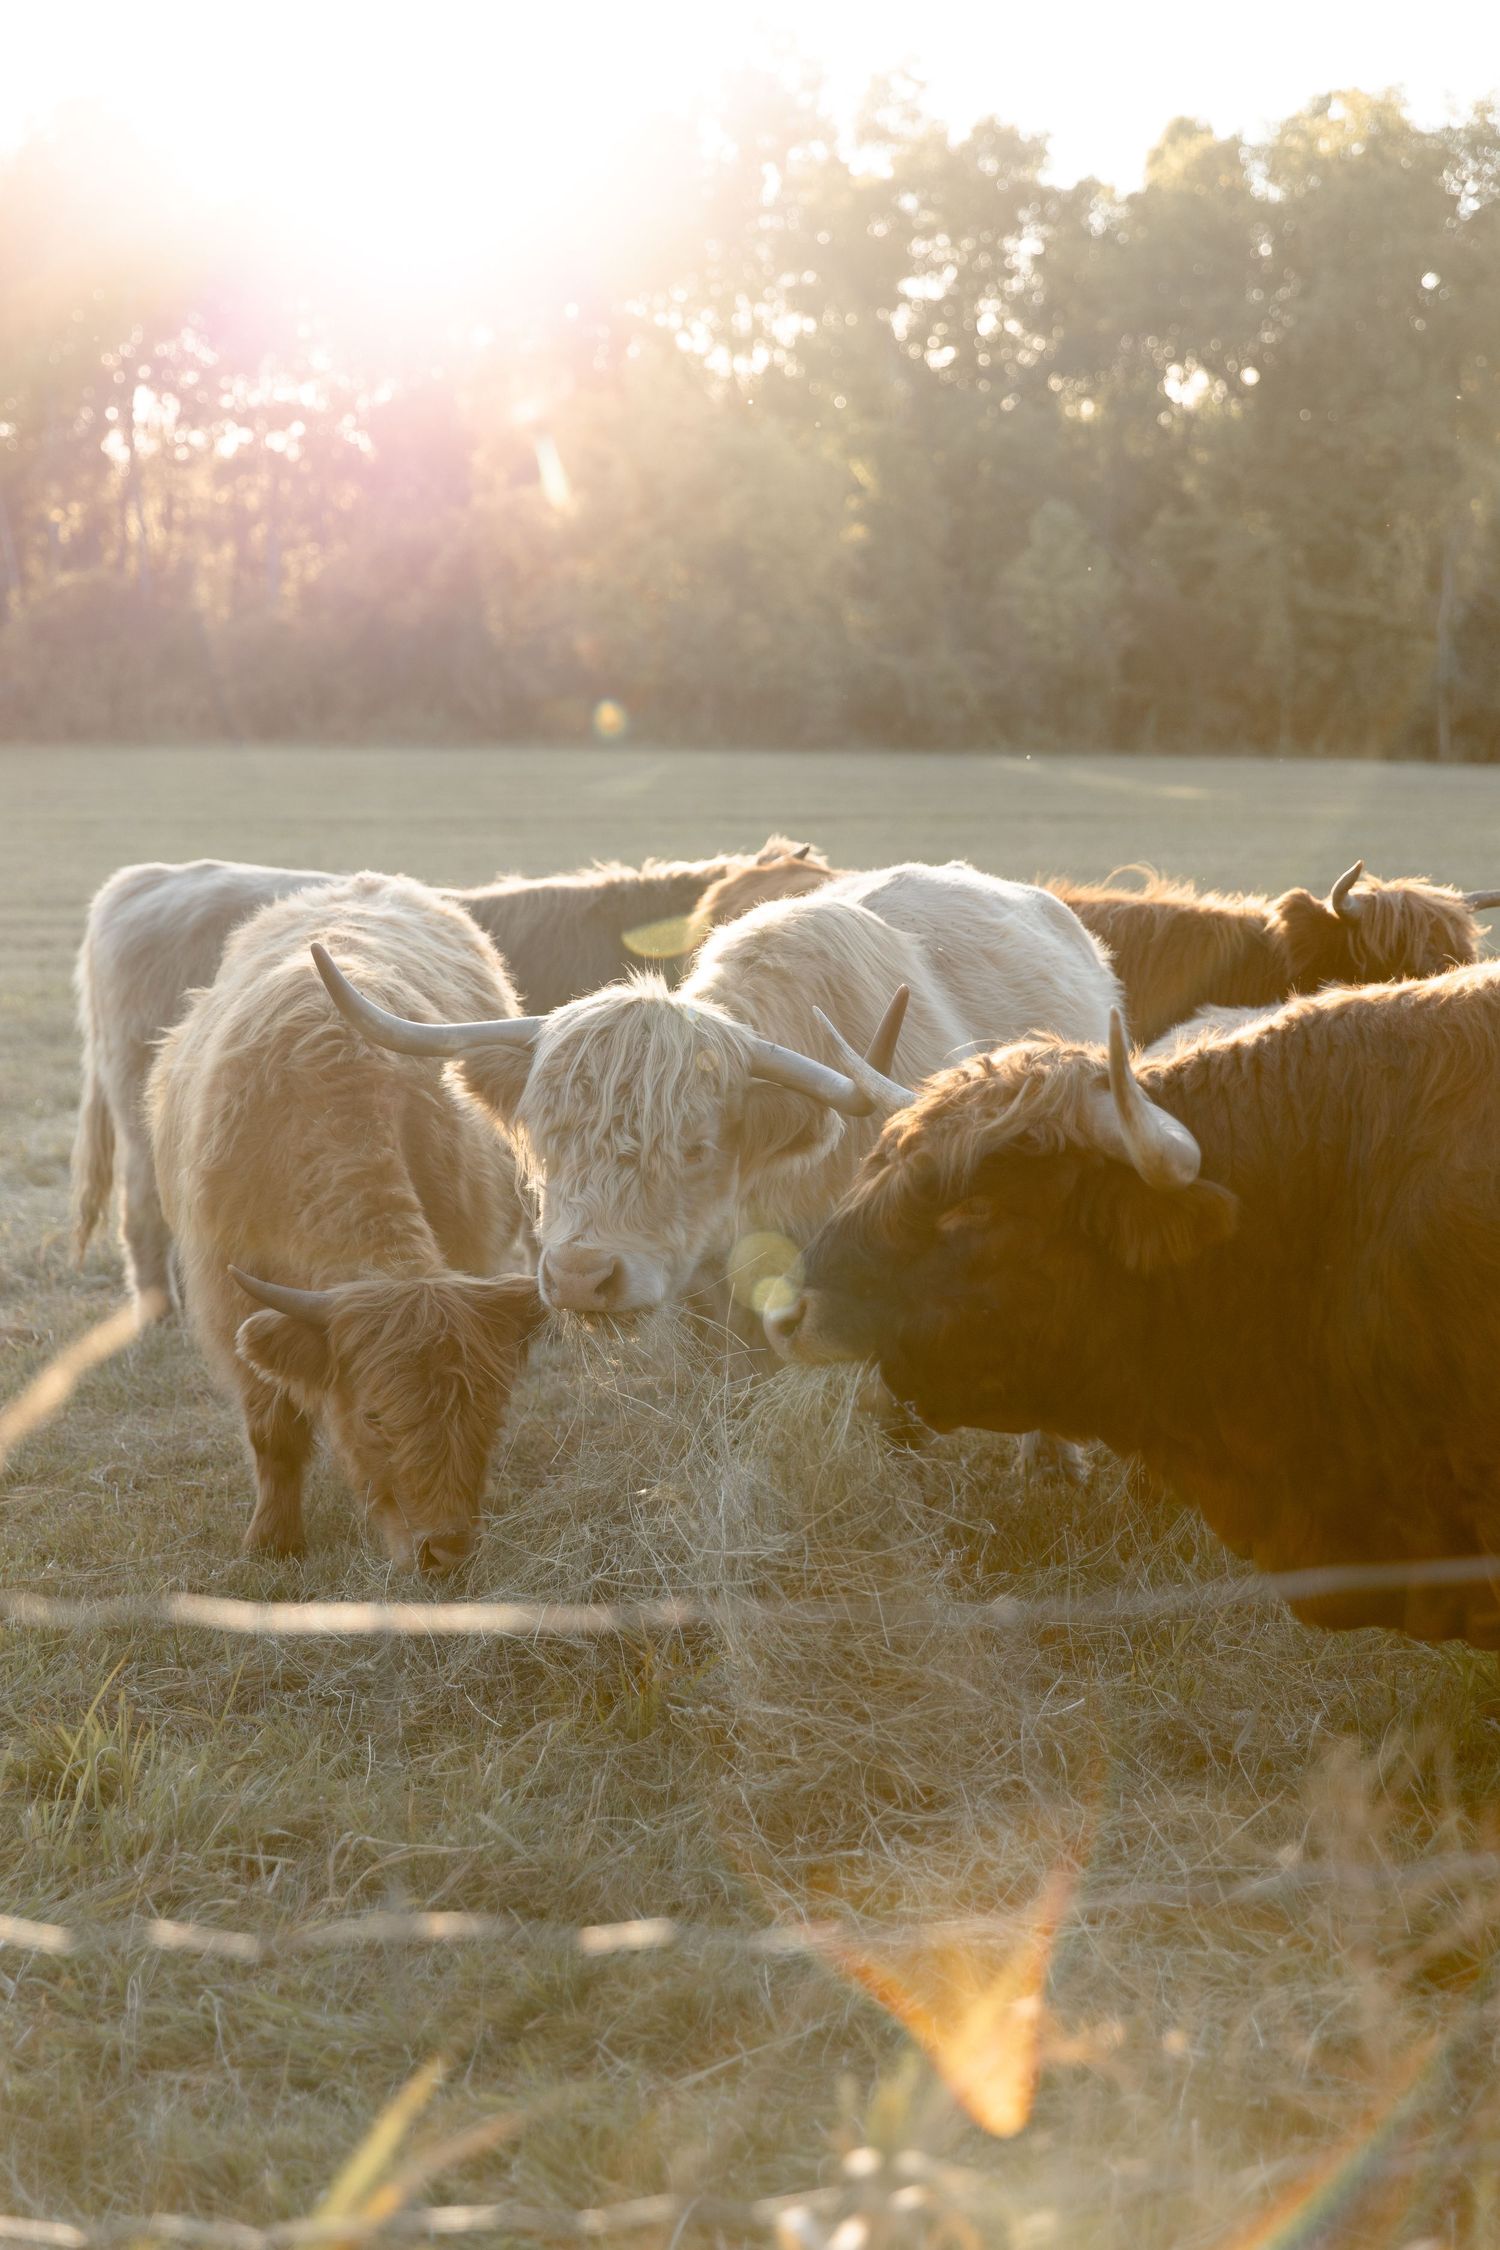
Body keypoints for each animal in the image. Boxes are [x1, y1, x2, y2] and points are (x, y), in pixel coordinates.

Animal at [147, 874, 544, 1570]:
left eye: (488, 1414)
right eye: (375, 1417)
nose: (445, 1553)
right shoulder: (228, 1299)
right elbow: (272, 1430)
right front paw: (273, 1540)